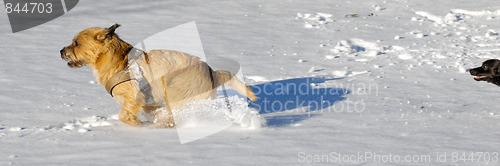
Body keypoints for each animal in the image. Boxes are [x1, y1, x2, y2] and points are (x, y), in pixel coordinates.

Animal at [60, 23, 258, 127]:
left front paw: (137, 123)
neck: (119, 61)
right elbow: (151, 110)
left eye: (76, 43)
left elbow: (124, 115)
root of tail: (212, 73)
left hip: (175, 90)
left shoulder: (133, 96)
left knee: (174, 117)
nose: (61, 51)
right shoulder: (148, 100)